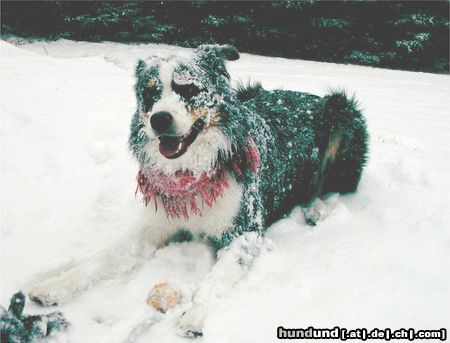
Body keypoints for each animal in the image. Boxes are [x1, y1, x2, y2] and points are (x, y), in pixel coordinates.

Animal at [28, 44, 368, 338]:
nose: (159, 119)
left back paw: (318, 209)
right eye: (151, 93)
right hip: (248, 90)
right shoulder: (154, 224)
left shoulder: (244, 231)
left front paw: (194, 314)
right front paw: (55, 285)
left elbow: (218, 277)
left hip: (344, 114)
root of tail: (306, 94)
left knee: (336, 185)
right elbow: (106, 256)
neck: (192, 174)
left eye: (188, 89)